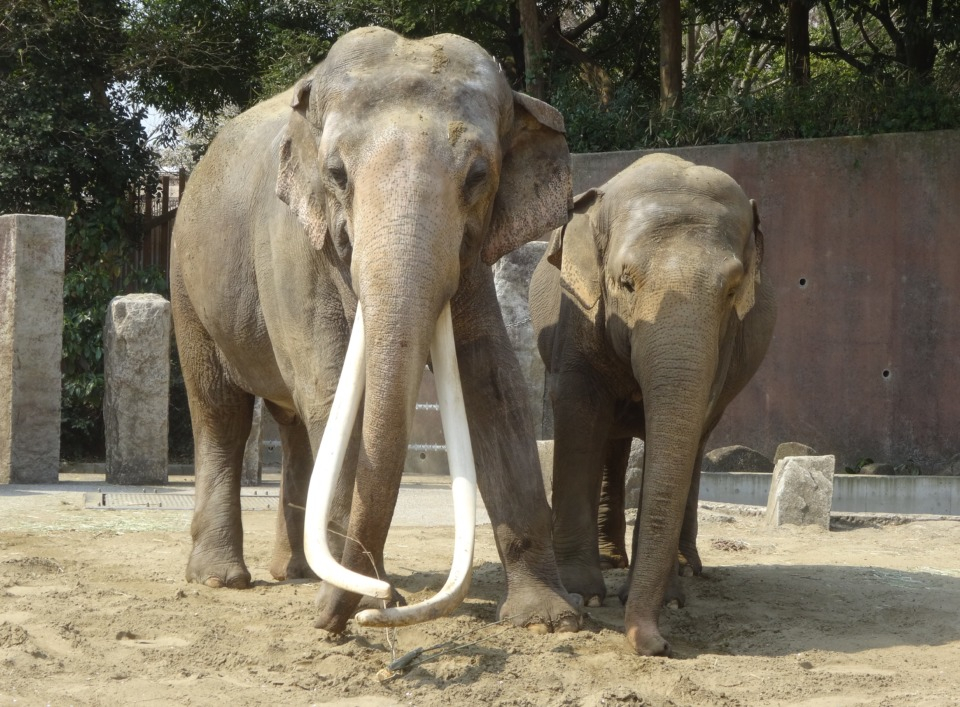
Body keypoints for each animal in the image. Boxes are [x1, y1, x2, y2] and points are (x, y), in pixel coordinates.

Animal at [169, 27, 580, 636]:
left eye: (478, 176)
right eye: (337, 174)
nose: (347, 619)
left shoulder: (472, 257)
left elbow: (493, 383)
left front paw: (546, 621)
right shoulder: (290, 241)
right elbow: (335, 389)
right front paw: (361, 598)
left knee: (293, 423)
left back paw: (297, 572)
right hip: (186, 283)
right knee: (220, 409)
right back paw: (222, 579)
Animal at [528, 155, 776, 660]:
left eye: (732, 291)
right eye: (625, 282)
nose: (658, 645)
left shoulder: (724, 343)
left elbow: (688, 421)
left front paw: (669, 601)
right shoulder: (577, 314)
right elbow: (579, 410)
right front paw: (582, 593)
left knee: (695, 444)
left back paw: (684, 568)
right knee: (610, 438)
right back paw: (611, 561)